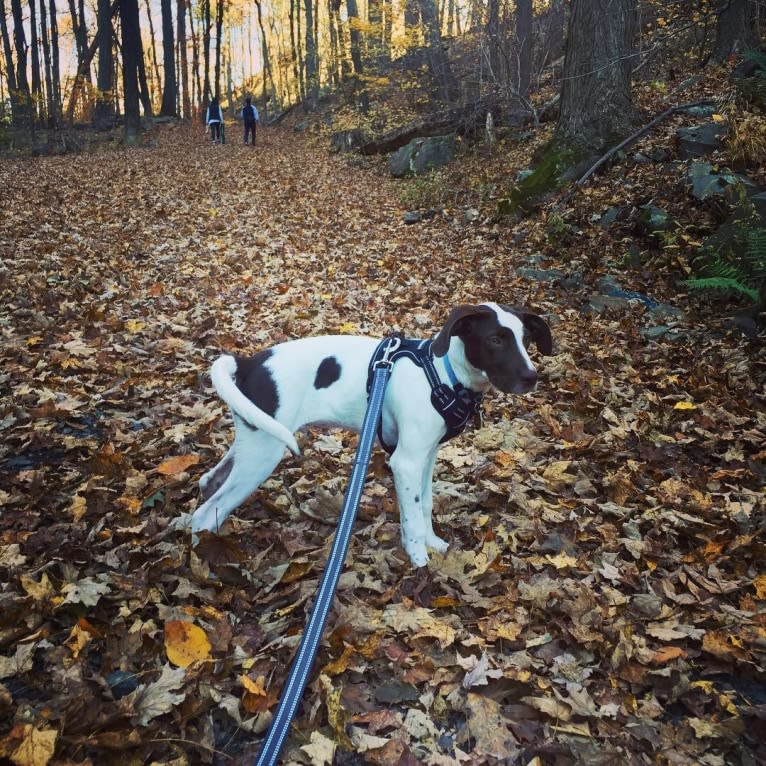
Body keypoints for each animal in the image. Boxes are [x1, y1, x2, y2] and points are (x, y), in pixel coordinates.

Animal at [191, 304, 552, 568]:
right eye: (495, 340)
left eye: (526, 340)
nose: (531, 378)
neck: (442, 373)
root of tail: (247, 363)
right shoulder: (406, 462)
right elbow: (412, 517)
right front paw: (419, 560)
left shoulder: (426, 456)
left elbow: (425, 504)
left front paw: (432, 543)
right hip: (264, 453)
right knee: (204, 514)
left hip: (255, 436)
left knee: (212, 478)